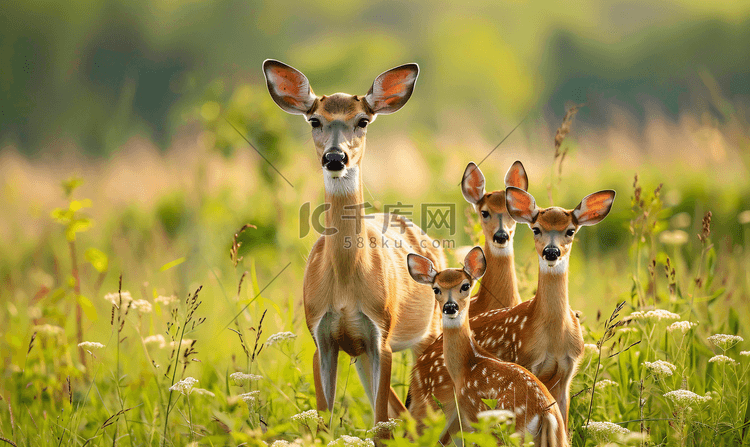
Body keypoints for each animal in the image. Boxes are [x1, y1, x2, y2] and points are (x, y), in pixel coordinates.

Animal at [262, 58, 446, 428]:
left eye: (362, 120)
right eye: (315, 120)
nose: (335, 158)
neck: (346, 287)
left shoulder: (381, 337)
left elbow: (380, 427)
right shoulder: (322, 338)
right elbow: (324, 424)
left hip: (428, 334)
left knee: (423, 414)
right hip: (360, 354)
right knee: (407, 414)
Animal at [408, 248, 568, 447]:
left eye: (465, 286)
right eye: (436, 289)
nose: (450, 307)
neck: (466, 366)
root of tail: (546, 414)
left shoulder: (473, 413)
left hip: (509, 433)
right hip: (559, 437)